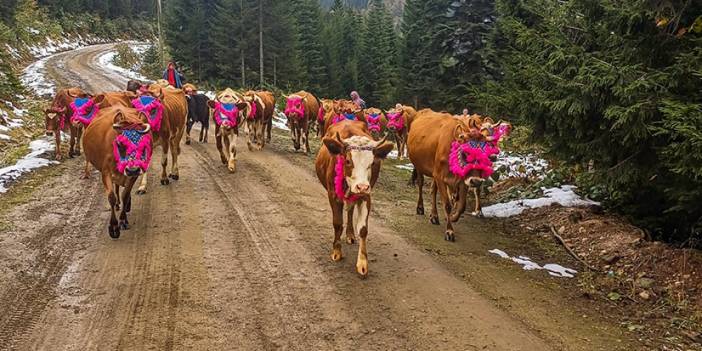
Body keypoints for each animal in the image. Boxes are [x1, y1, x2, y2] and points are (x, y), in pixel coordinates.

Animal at [83, 106, 153, 238]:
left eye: (143, 143)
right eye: (120, 143)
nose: (132, 169)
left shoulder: (134, 175)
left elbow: (125, 195)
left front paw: (123, 220)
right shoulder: (105, 173)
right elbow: (111, 197)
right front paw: (114, 227)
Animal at [316, 121, 394, 278]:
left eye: (372, 163)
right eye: (347, 160)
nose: (362, 186)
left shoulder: (366, 196)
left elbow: (363, 229)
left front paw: (362, 263)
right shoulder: (333, 195)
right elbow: (337, 223)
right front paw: (337, 251)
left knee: (351, 210)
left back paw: (350, 234)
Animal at [408, 110, 500, 242]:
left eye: (484, 153)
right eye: (466, 153)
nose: (477, 181)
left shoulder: (463, 180)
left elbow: (462, 205)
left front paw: (452, 217)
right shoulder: (440, 177)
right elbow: (447, 205)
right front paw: (449, 231)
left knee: (433, 190)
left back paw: (434, 215)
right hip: (419, 166)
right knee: (420, 184)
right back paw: (420, 208)